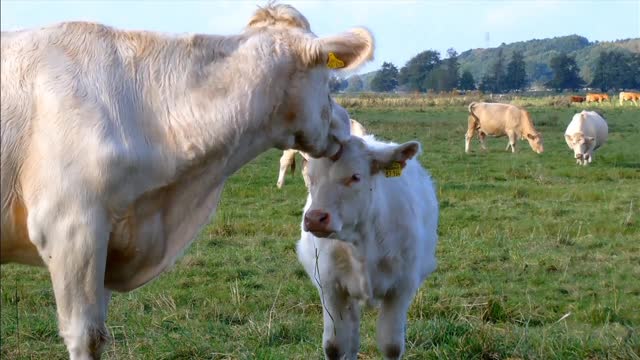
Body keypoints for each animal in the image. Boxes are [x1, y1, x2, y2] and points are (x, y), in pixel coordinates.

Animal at [296, 135, 438, 360]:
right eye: (311, 177)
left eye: (355, 176)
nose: (315, 218)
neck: (361, 246)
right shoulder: (329, 285)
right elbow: (334, 345)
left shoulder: (401, 287)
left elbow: (391, 345)